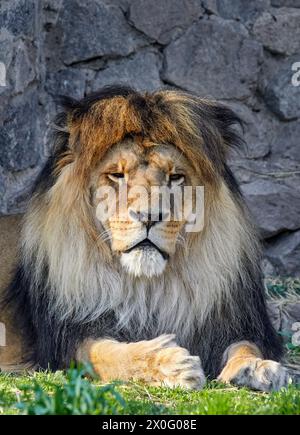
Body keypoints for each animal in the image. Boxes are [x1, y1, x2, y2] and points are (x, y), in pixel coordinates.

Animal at [0, 85, 290, 392]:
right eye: (117, 175)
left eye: (176, 177)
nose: (149, 216)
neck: (148, 287)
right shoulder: (67, 336)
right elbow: (107, 354)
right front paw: (169, 364)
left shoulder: (233, 322)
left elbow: (246, 345)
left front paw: (258, 368)